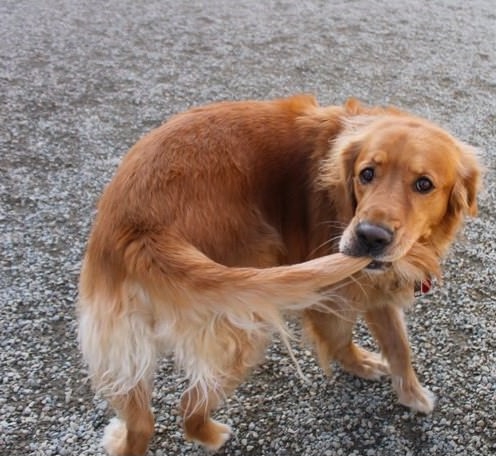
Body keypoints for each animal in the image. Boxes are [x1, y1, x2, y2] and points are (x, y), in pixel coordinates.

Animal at [78, 94, 480, 454]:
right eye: (366, 174)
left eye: (424, 184)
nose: (370, 237)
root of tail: (136, 226)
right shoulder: (333, 292)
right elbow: (340, 338)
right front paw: (360, 365)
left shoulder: (376, 284)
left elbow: (399, 345)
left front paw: (411, 393)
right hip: (246, 318)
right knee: (189, 407)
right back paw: (212, 435)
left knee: (142, 423)